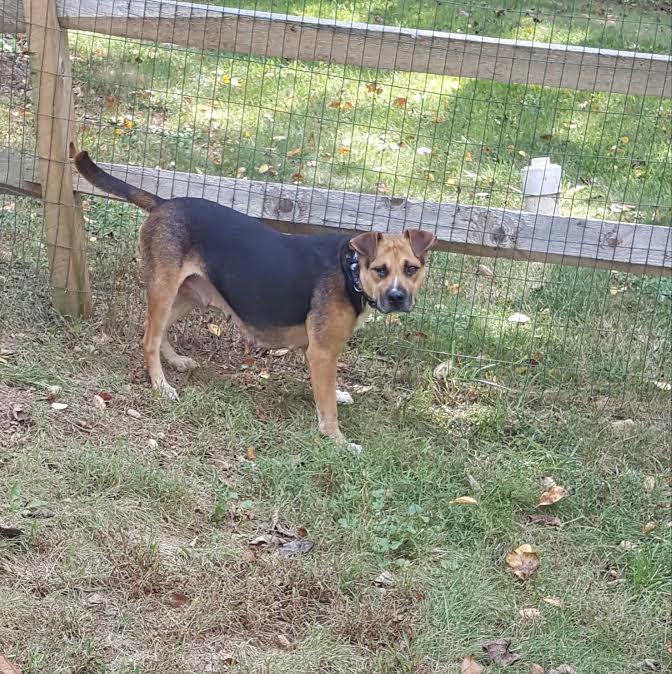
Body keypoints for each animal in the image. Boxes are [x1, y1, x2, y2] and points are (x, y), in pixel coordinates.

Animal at [73, 150, 436, 448]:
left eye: (412, 268)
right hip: (164, 289)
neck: (351, 270)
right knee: (149, 338)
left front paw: (337, 397)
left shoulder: (318, 350)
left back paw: (175, 361)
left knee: (153, 330)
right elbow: (328, 408)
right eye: (380, 270)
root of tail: (163, 202)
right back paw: (161, 385)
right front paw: (337, 440)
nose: (397, 297)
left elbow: (327, 392)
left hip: (188, 295)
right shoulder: (322, 352)